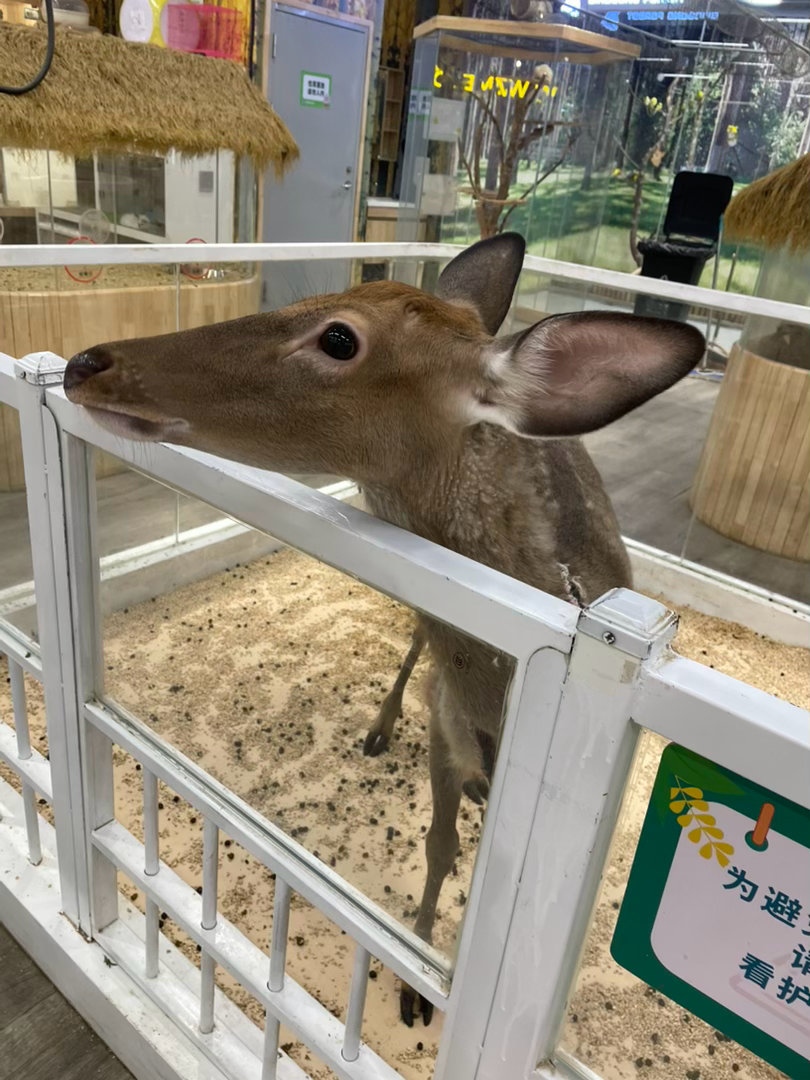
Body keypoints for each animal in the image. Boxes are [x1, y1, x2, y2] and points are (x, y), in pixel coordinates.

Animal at [63, 233, 704, 1026]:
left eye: (339, 338)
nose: (86, 362)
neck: (493, 704)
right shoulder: (444, 724)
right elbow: (436, 844)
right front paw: (414, 987)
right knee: (416, 646)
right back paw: (379, 725)